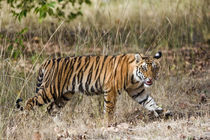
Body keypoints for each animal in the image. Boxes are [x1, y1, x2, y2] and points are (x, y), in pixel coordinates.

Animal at [16, 51, 164, 124]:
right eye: (144, 68)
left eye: (155, 68)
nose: (150, 79)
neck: (134, 77)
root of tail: (47, 61)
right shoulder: (111, 90)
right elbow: (109, 108)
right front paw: (108, 123)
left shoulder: (136, 91)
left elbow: (149, 102)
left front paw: (162, 113)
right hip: (50, 90)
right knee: (30, 102)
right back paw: (24, 120)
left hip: (65, 94)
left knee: (51, 109)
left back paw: (59, 125)